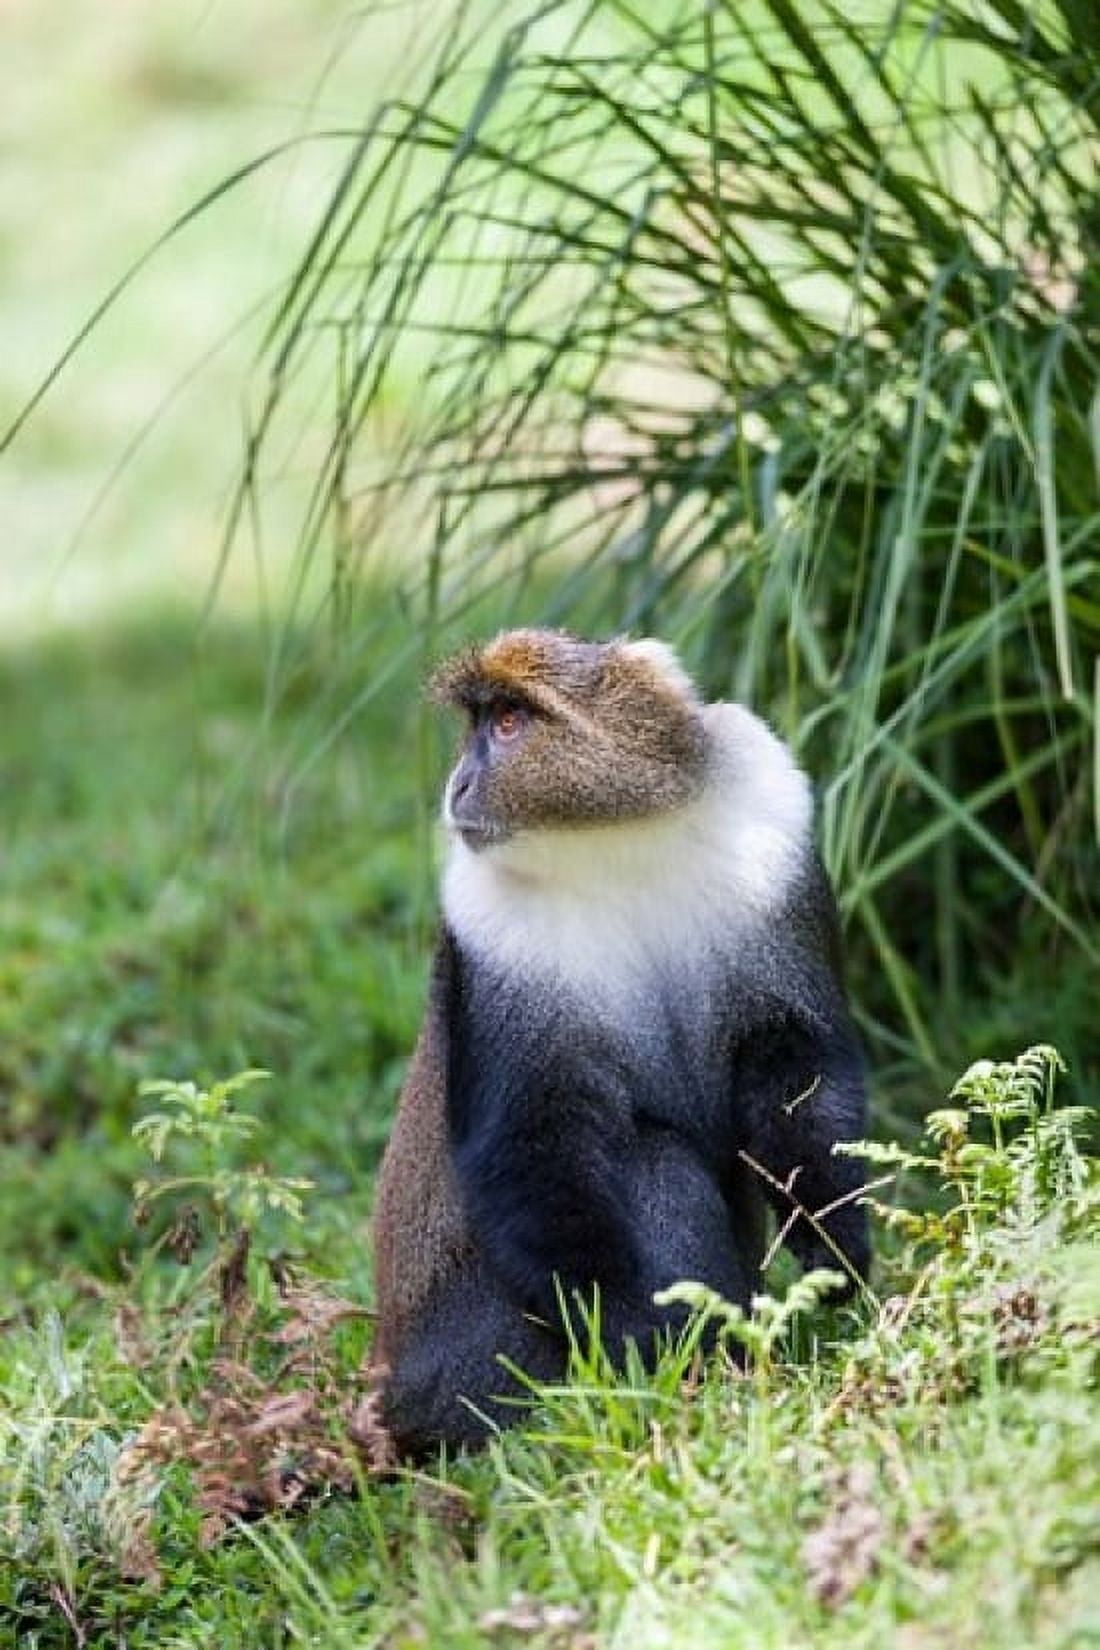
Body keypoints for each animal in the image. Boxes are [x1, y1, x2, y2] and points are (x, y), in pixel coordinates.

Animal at [372, 629, 868, 1454]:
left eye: (508, 723)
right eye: (479, 725)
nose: (457, 785)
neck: (613, 837)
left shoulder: (774, 835)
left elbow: (795, 1059)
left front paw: (834, 1241)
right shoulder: (491, 937)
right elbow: (534, 1143)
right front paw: (634, 1342)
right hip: (473, 1366)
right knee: (653, 1160)